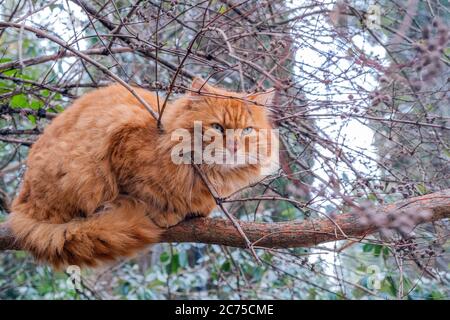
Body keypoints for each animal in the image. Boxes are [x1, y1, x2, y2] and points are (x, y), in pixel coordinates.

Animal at [8, 77, 276, 268]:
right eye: (218, 127)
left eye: (247, 130)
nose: (234, 147)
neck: (208, 175)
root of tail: (20, 205)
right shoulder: (121, 142)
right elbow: (138, 191)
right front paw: (160, 212)